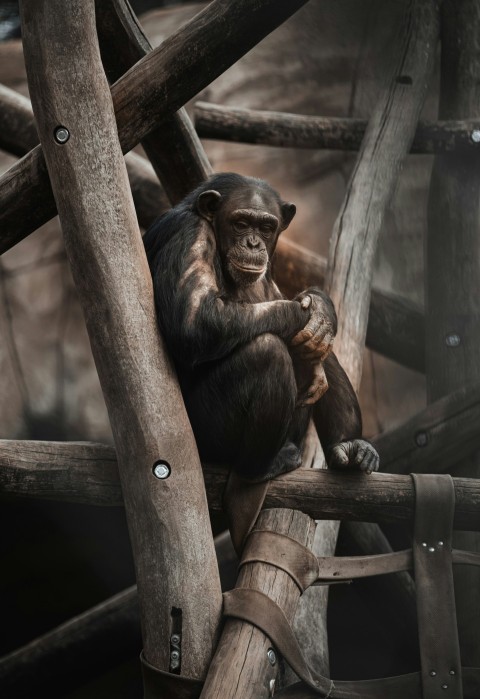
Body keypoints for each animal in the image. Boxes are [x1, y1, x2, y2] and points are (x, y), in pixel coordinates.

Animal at [143, 173, 379, 481]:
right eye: (241, 223)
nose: (254, 244)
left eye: (266, 228)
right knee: (269, 350)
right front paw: (311, 315)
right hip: (206, 440)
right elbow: (193, 319)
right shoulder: (190, 234)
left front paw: (322, 308)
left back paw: (351, 447)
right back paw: (263, 467)